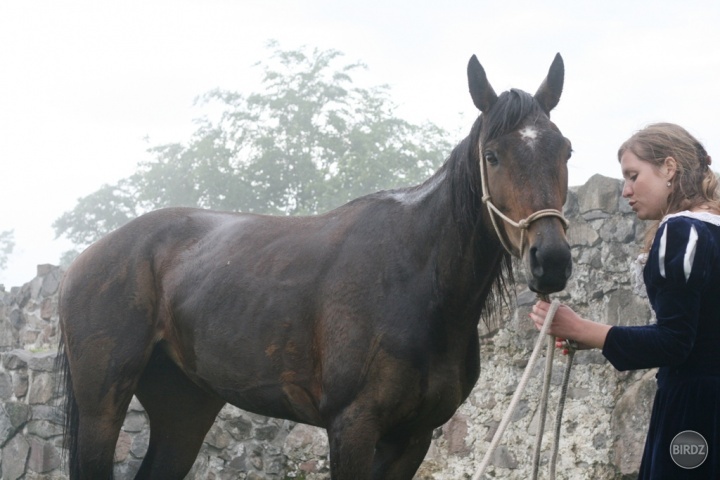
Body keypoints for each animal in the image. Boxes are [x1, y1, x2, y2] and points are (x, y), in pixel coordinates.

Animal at [56, 53, 572, 480]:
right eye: (493, 155)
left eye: (565, 150)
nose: (551, 261)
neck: (417, 281)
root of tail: (84, 260)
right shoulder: (353, 426)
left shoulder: (413, 438)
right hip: (103, 408)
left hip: (184, 408)